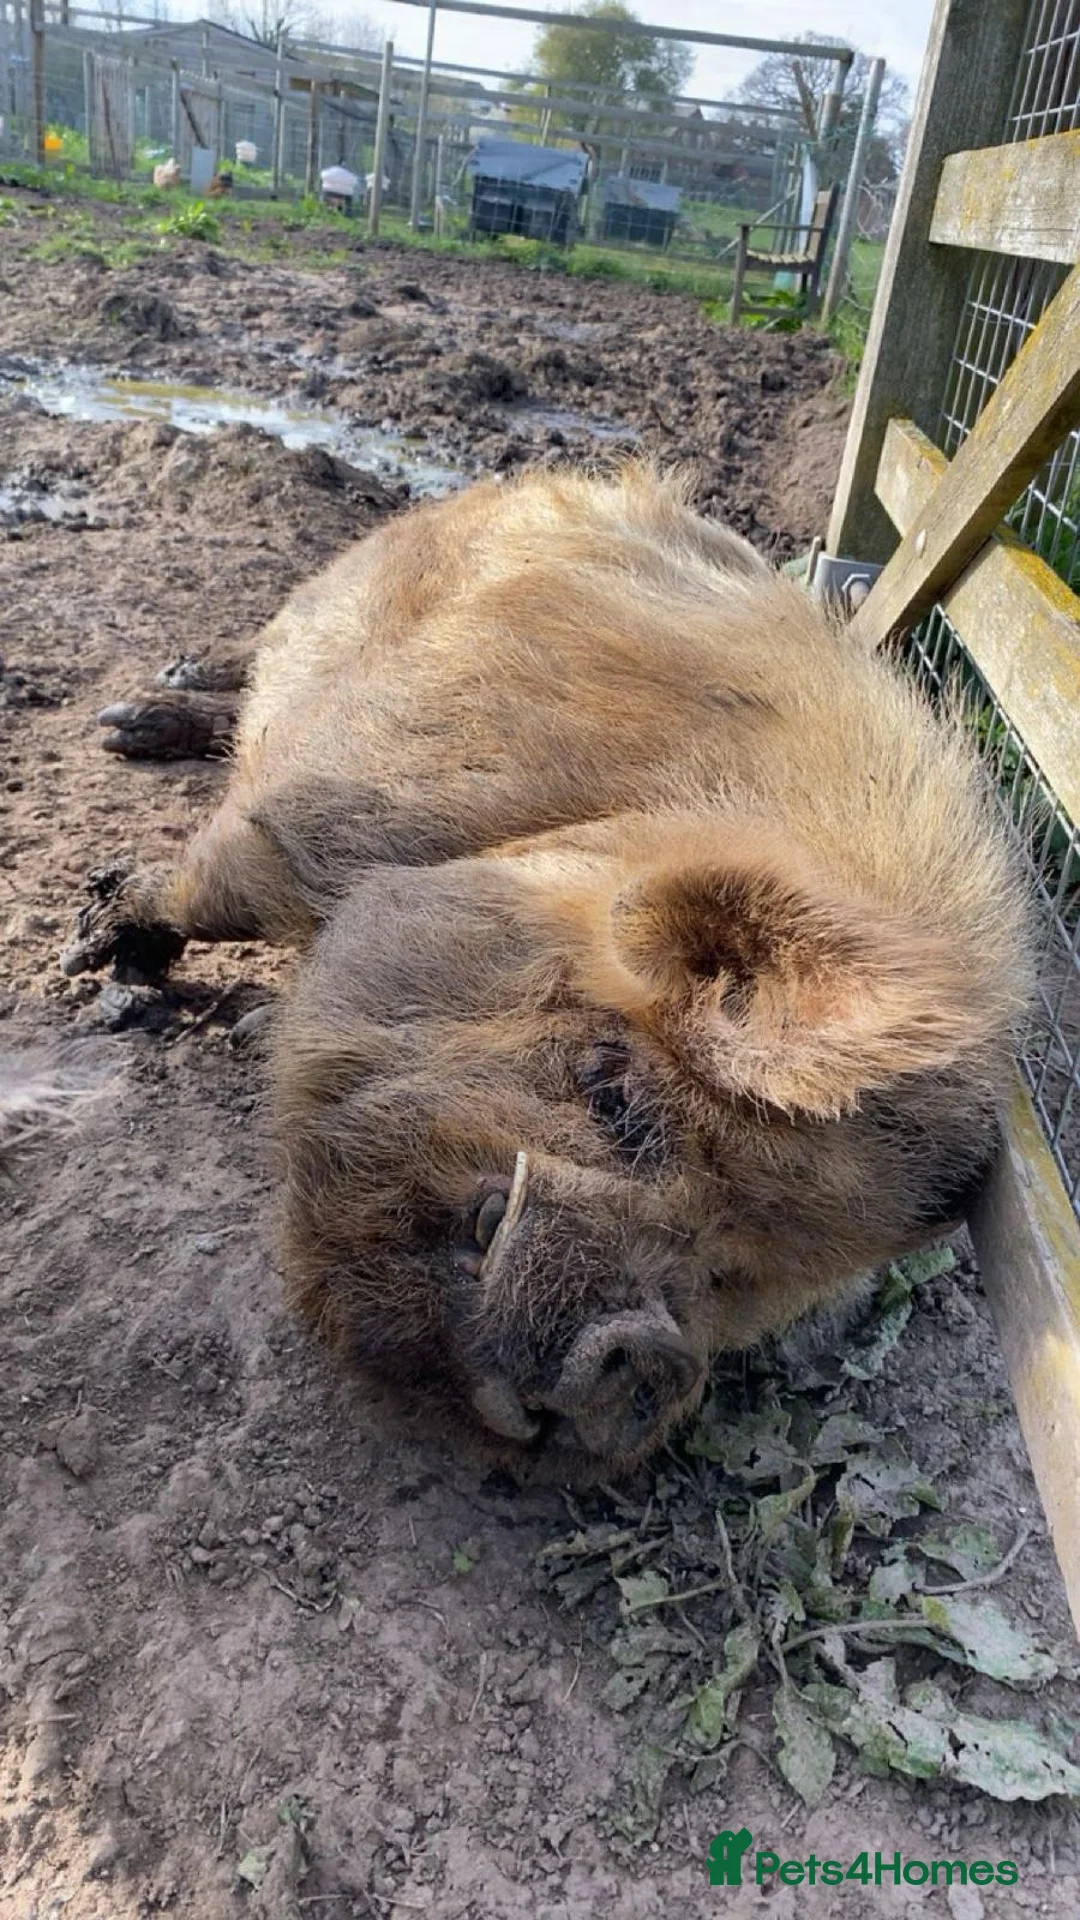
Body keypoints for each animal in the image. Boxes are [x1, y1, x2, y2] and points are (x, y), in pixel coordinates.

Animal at [66, 465, 1031, 1478]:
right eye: (613, 1093)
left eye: (731, 1274)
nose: (643, 1357)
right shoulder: (330, 803)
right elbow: (210, 885)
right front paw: (100, 962)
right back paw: (131, 719)